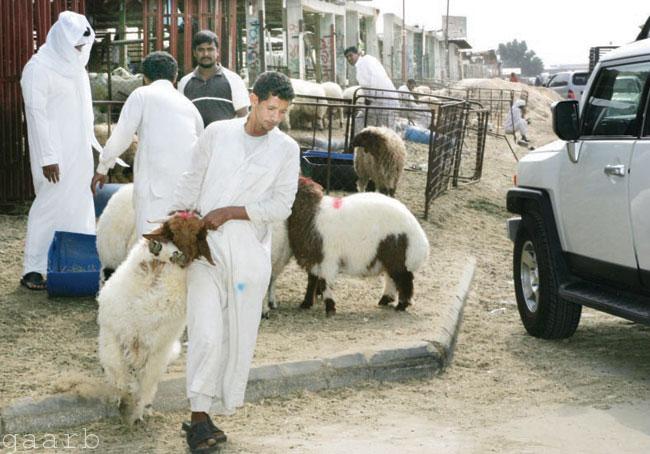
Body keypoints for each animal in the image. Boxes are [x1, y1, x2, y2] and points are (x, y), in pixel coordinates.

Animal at [97, 213, 213, 426]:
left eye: (197, 237)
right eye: (171, 232)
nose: (181, 254)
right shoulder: (113, 337)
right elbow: (117, 374)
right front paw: (157, 249)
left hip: (157, 356)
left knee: (145, 386)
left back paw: (140, 411)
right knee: (121, 375)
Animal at [286, 177, 428, 316]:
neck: (312, 216)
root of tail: (421, 239)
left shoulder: (327, 259)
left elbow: (324, 282)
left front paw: (330, 307)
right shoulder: (314, 257)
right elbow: (312, 281)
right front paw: (306, 303)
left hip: (398, 256)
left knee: (405, 279)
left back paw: (402, 305)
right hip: (390, 257)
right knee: (392, 278)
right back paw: (385, 300)